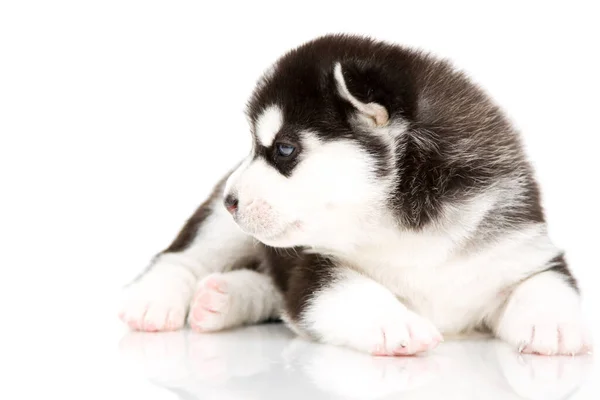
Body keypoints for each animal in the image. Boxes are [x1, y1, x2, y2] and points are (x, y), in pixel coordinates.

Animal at [120, 33, 592, 354]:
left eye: (284, 150)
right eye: (254, 148)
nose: (230, 200)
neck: (404, 226)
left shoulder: (521, 244)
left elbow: (544, 281)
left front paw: (553, 324)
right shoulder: (313, 267)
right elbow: (344, 288)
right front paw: (394, 323)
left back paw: (222, 299)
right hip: (221, 231)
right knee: (183, 257)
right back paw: (154, 302)